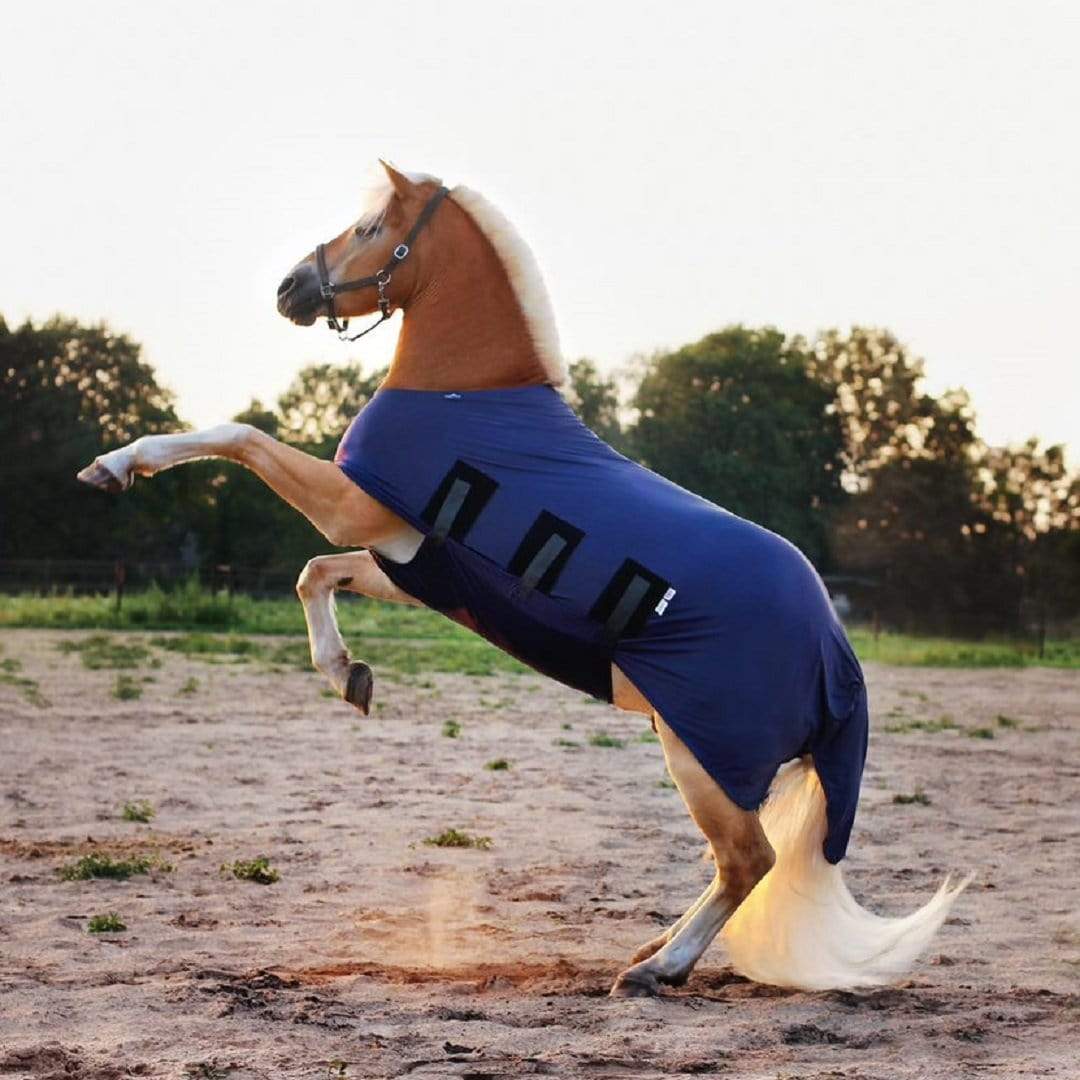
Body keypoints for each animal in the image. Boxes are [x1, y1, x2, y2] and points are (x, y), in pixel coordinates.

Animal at [77, 161, 966, 997]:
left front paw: (115, 466)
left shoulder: (352, 506)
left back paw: (655, 970)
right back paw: (651, 950)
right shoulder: (409, 560)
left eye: (368, 228)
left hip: (701, 753)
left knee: (750, 858)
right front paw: (349, 677)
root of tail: (837, 657)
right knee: (744, 862)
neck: (463, 393)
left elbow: (239, 437)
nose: (290, 289)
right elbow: (313, 574)